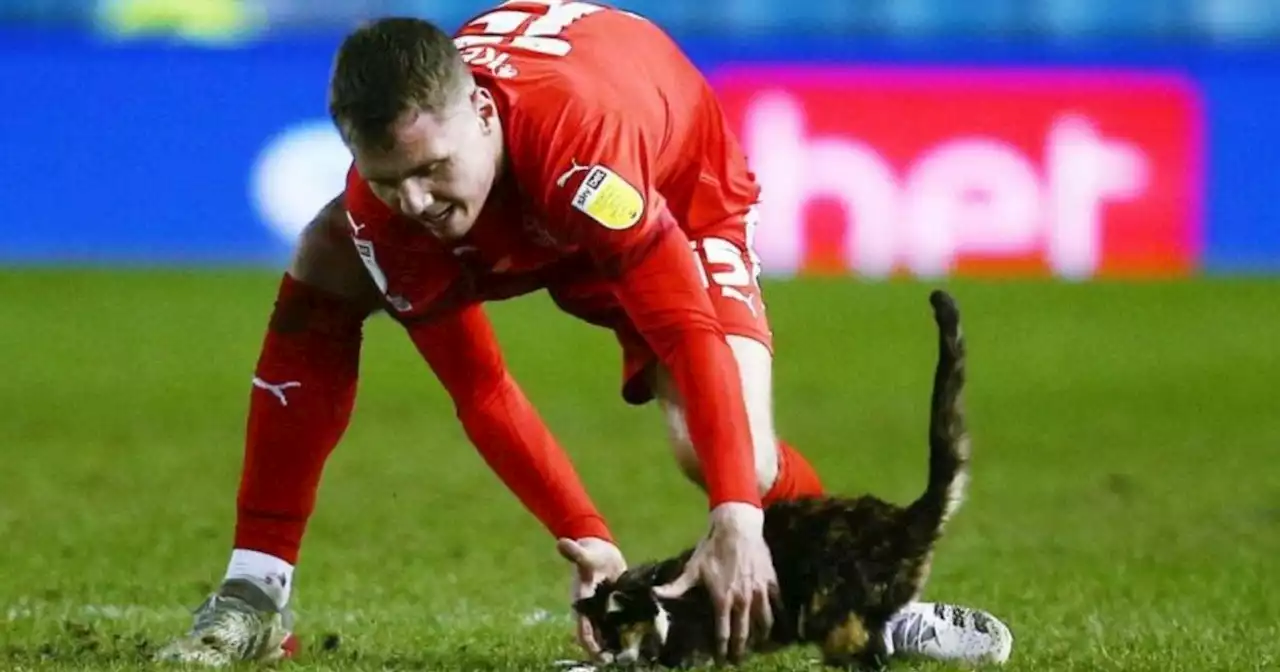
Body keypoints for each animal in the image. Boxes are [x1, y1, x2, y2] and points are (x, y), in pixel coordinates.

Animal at [570, 289, 967, 670]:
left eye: (621, 626)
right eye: (603, 633)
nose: (614, 655)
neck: (661, 610)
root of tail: (905, 521)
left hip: (833, 608)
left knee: (868, 656)